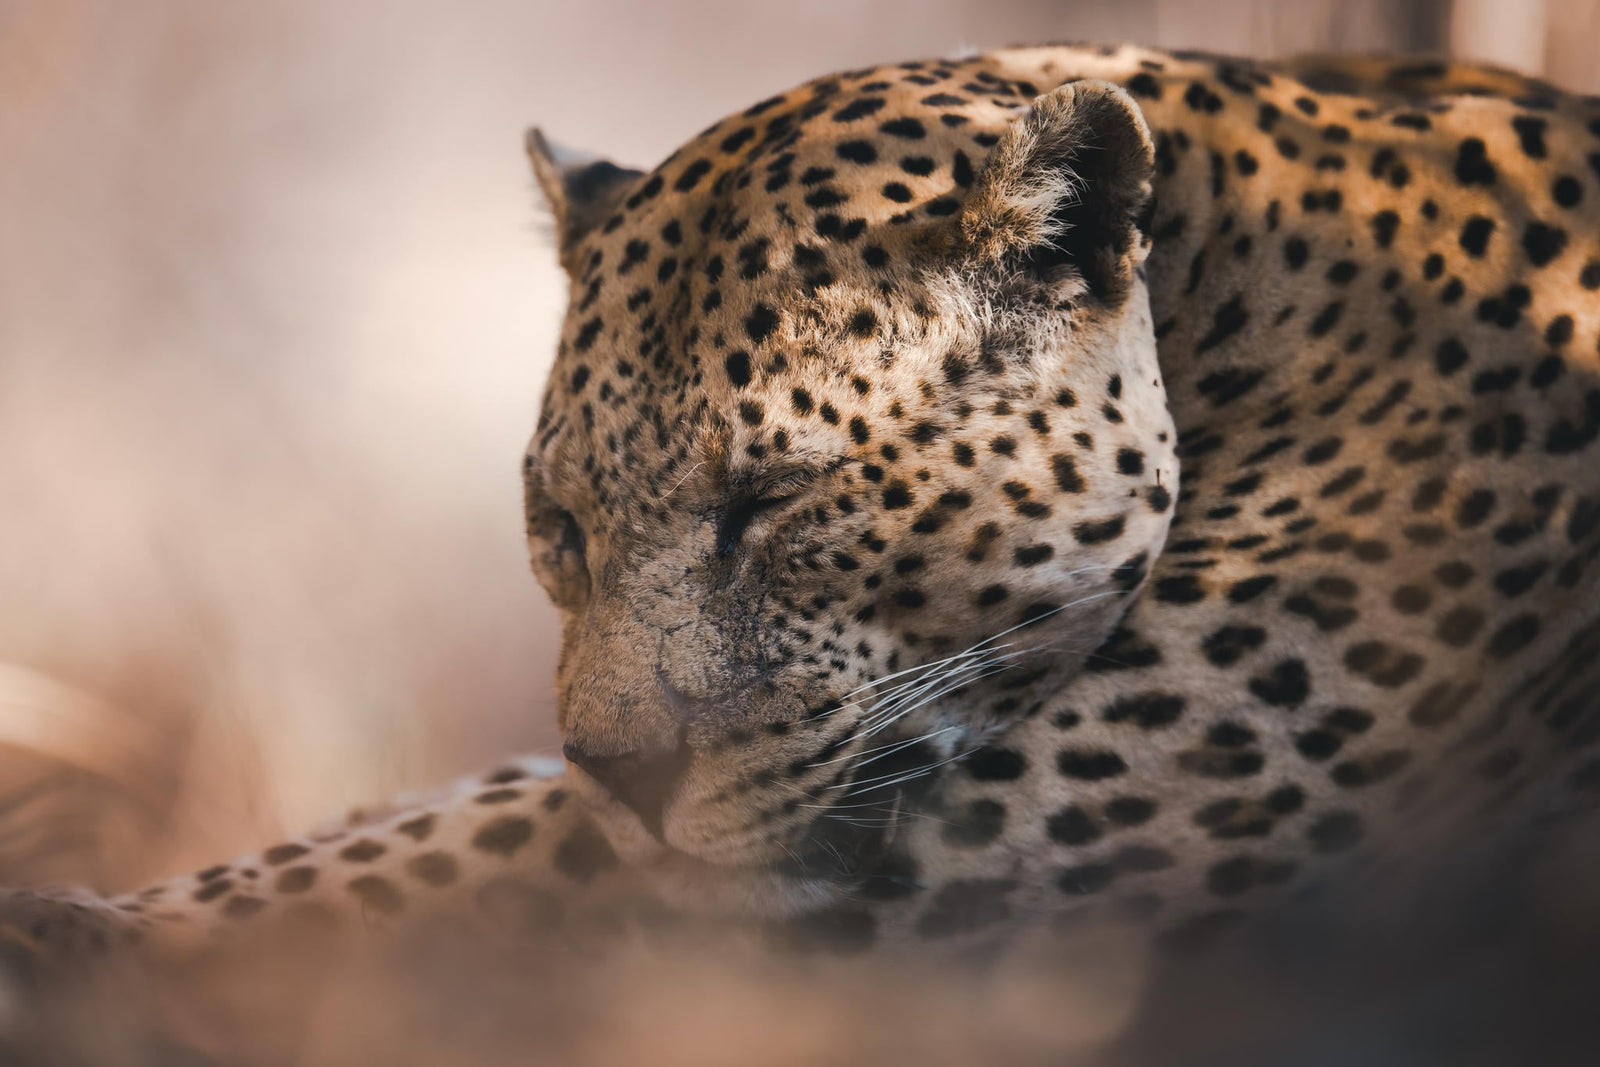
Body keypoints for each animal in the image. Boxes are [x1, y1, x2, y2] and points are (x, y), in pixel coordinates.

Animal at [5, 42, 1600, 997]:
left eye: (771, 502)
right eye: (560, 525)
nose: (625, 773)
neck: (1239, 300)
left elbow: (456, 855)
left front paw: (83, 942)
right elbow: (436, 811)